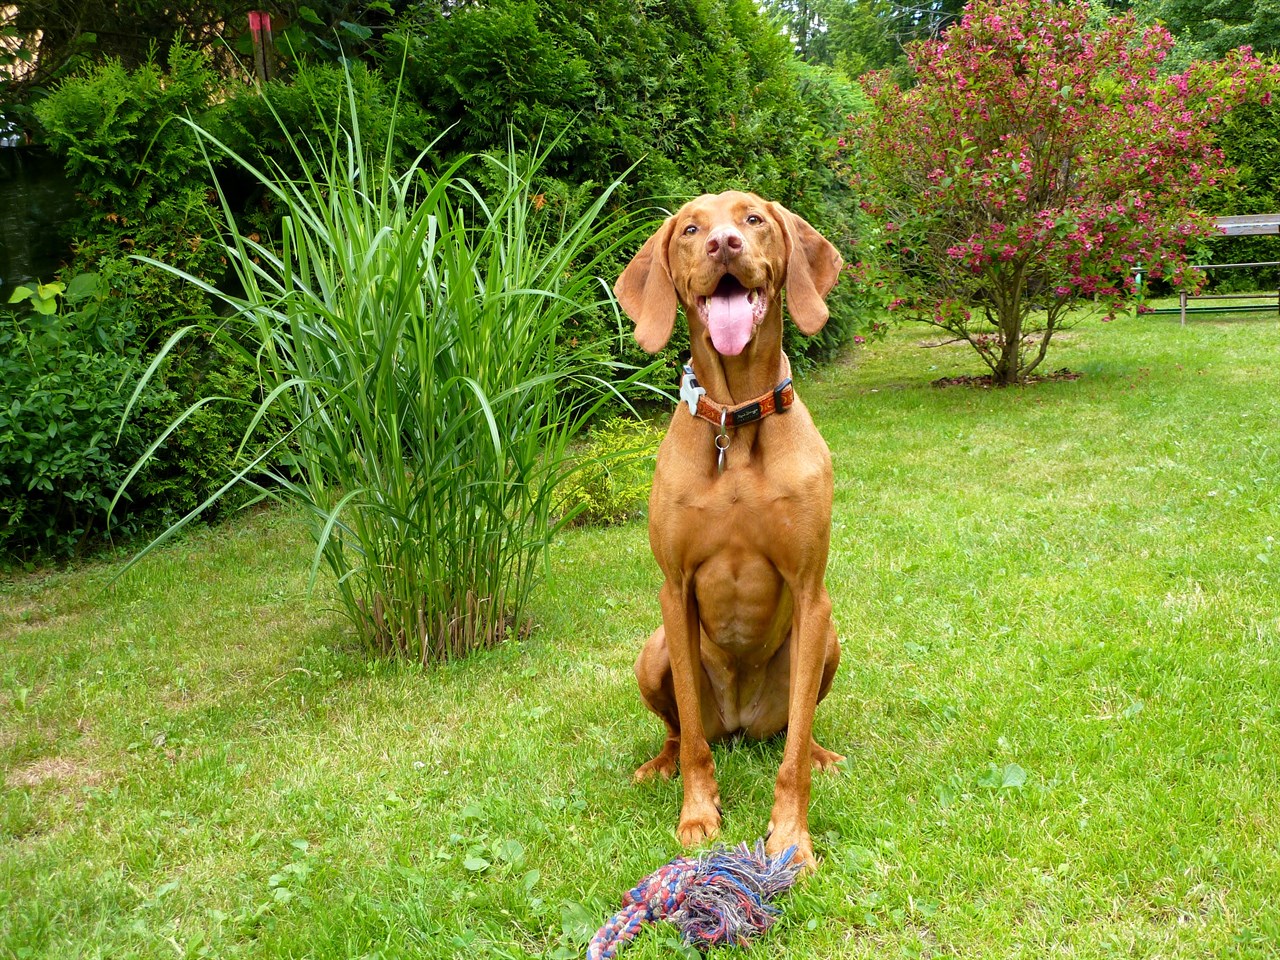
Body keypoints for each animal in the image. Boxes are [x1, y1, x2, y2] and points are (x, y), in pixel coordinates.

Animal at [614, 193, 844, 870]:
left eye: (754, 220)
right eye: (691, 228)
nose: (722, 244)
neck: (736, 424)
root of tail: (741, 724)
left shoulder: (811, 590)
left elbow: (792, 759)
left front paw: (790, 837)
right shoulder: (674, 589)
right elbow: (691, 733)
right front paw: (697, 816)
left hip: (827, 641)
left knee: (796, 729)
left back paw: (820, 752)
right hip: (654, 651)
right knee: (679, 730)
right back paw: (658, 764)